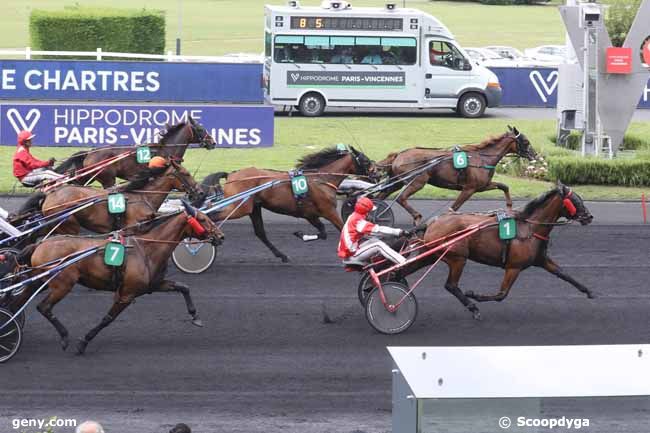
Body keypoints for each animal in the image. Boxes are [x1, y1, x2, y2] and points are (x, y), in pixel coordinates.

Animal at [20, 158, 202, 235]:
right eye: (186, 174)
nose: (199, 192)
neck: (143, 197)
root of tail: (50, 194)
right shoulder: (132, 229)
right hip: (67, 225)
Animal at [53, 116, 215, 187]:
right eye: (201, 129)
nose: (213, 142)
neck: (165, 151)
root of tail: (89, 153)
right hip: (108, 179)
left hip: (88, 176)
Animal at [374, 125, 536, 224]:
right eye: (526, 141)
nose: (535, 155)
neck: (482, 158)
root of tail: (399, 155)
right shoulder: (469, 189)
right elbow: (453, 208)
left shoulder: (482, 186)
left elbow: (504, 186)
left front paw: (509, 206)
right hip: (417, 181)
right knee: (401, 198)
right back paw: (416, 217)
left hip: (398, 181)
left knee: (380, 196)